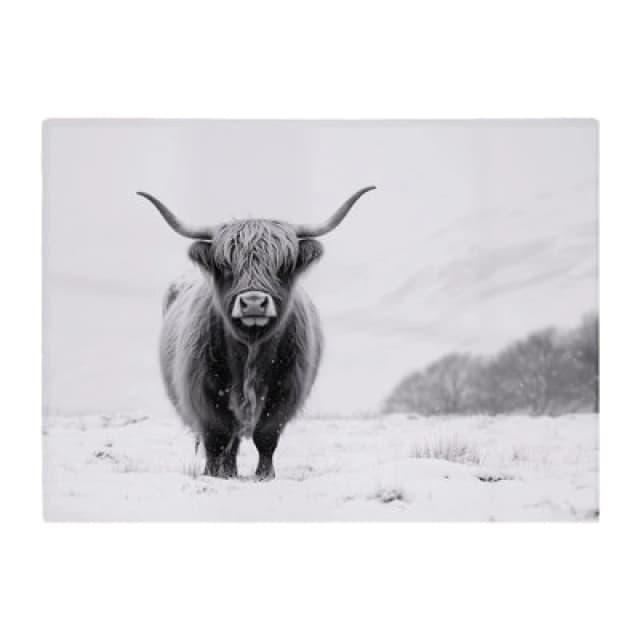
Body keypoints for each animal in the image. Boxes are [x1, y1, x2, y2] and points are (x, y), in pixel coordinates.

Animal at [137, 186, 376, 479]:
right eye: (225, 265)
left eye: (283, 265)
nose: (252, 302)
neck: (250, 349)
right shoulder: (203, 390)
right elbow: (216, 435)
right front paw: (214, 474)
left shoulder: (286, 390)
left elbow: (266, 434)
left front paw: (264, 475)